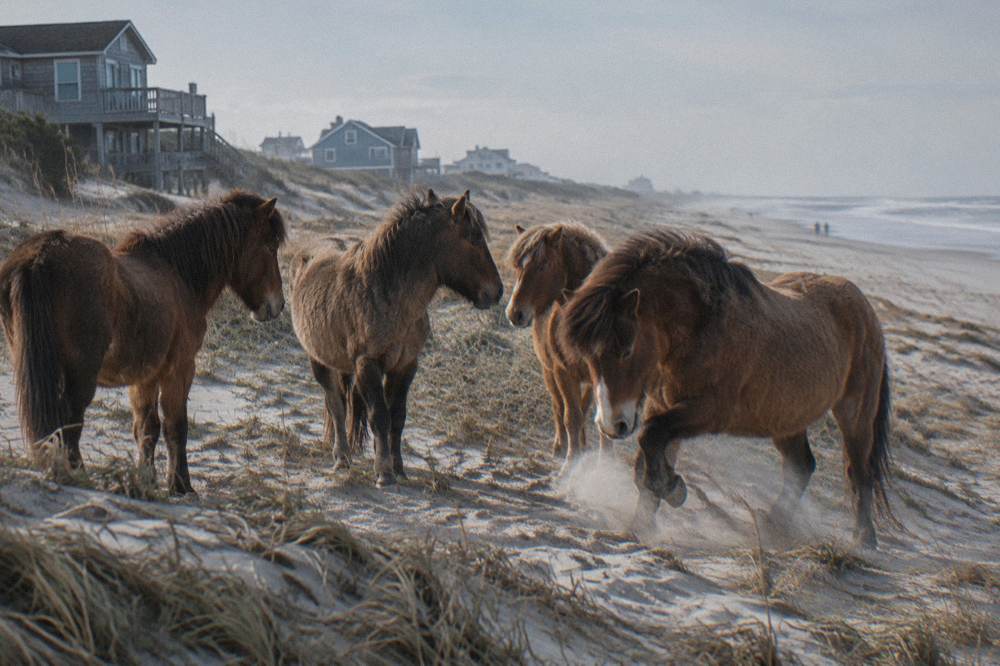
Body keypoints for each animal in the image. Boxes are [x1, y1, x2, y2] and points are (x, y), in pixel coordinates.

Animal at [0, 191, 287, 494]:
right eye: (270, 246)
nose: (278, 304)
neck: (176, 273)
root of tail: (39, 256)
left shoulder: (145, 377)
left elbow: (147, 429)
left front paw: (145, 480)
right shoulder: (180, 369)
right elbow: (176, 427)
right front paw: (181, 485)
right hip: (80, 374)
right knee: (70, 421)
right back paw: (76, 473)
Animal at [291, 189, 503, 487]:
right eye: (473, 237)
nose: (497, 291)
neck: (386, 291)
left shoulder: (405, 365)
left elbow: (397, 417)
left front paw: (399, 467)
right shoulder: (368, 364)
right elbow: (379, 416)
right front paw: (383, 472)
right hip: (319, 360)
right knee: (336, 405)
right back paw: (342, 457)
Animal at [505, 222, 610, 468]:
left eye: (543, 265)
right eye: (518, 266)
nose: (514, 313)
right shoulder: (563, 371)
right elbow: (570, 416)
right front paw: (570, 463)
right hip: (549, 371)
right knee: (559, 406)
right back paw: (561, 446)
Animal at [559, 229, 893, 547]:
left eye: (625, 350)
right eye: (588, 357)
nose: (611, 425)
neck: (703, 326)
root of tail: (865, 308)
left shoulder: (708, 412)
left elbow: (650, 436)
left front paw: (671, 488)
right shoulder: (663, 407)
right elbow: (647, 458)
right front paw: (642, 523)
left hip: (854, 414)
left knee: (858, 473)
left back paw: (864, 539)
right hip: (786, 418)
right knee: (801, 466)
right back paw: (773, 524)